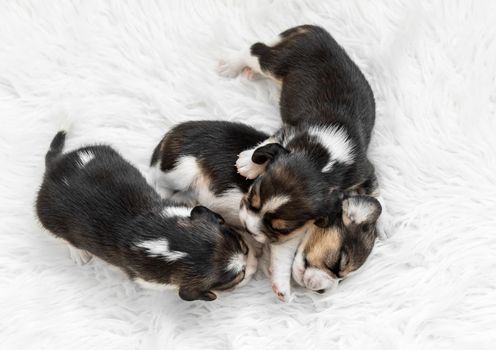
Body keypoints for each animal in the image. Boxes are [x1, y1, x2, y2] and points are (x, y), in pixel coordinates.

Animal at [35, 131, 258, 300]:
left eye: (243, 246)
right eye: (239, 276)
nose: (254, 261)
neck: (166, 242)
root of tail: (53, 168)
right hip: (48, 218)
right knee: (63, 237)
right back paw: (79, 253)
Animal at [219, 24, 382, 300]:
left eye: (280, 228)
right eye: (252, 196)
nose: (248, 228)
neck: (322, 159)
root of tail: (317, 31)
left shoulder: (363, 170)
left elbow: (373, 189)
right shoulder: (290, 131)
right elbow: (269, 143)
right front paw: (248, 163)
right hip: (277, 62)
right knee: (255, 49)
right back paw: (231, 65)